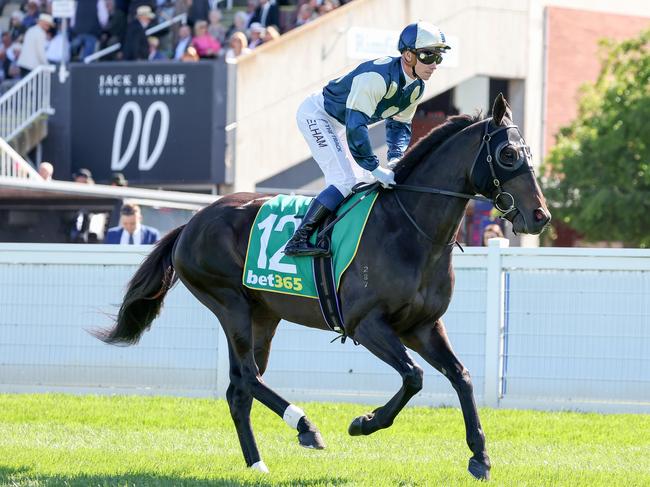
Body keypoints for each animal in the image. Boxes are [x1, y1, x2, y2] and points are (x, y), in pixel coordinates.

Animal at [95, 94, 548, 480]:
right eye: (508, 154)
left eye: (527, 153)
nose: (540, 216)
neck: (409, 228)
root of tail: (191, 222)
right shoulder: (367, 324)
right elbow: (414, 376)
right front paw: (364, 422)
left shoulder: (422, 326)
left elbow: (462, 376)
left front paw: (480, 457)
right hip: (229, 304)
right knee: (247, 377)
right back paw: (305, 426)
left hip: (264, 316)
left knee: (239, 387)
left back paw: (257, 462)